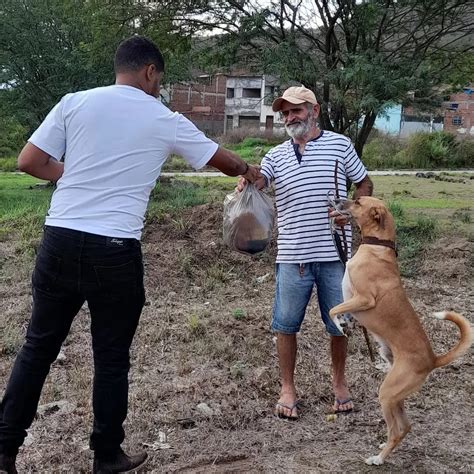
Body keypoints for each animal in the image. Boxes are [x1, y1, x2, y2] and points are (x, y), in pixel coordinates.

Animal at [328, 196, 472, 466]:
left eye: (357, 201)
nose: (337, 199)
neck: (377, 248)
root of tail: (433, 359)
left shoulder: (363, 299)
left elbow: (332, 310)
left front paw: (339, 326)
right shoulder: (352, 300)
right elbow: (340, 311)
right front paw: (346, 324)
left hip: (386, 394)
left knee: (396, 430)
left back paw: (378, 458)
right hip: (396, 396)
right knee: (405, 427)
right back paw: (384, 447)